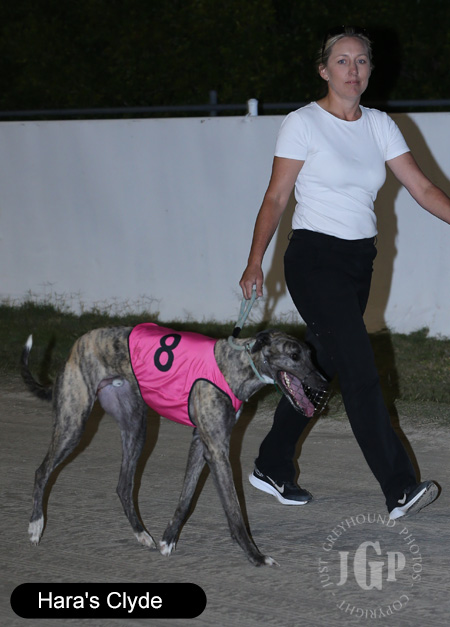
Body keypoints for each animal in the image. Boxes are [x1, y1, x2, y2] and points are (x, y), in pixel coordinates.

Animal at [21, 324, 328, 566]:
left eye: (311, 354)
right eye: (294, 355)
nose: (324, 384)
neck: (235, 365)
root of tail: (79, 343)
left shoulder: (201, 442)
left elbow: (186, 497)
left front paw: (168, 539)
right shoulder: (217, 449)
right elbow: (234, 511)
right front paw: (256, 557)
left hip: (136, 425)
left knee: (123, 486)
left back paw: (142, 534)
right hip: (73, 424)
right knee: (41, 471)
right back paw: (35, 526)